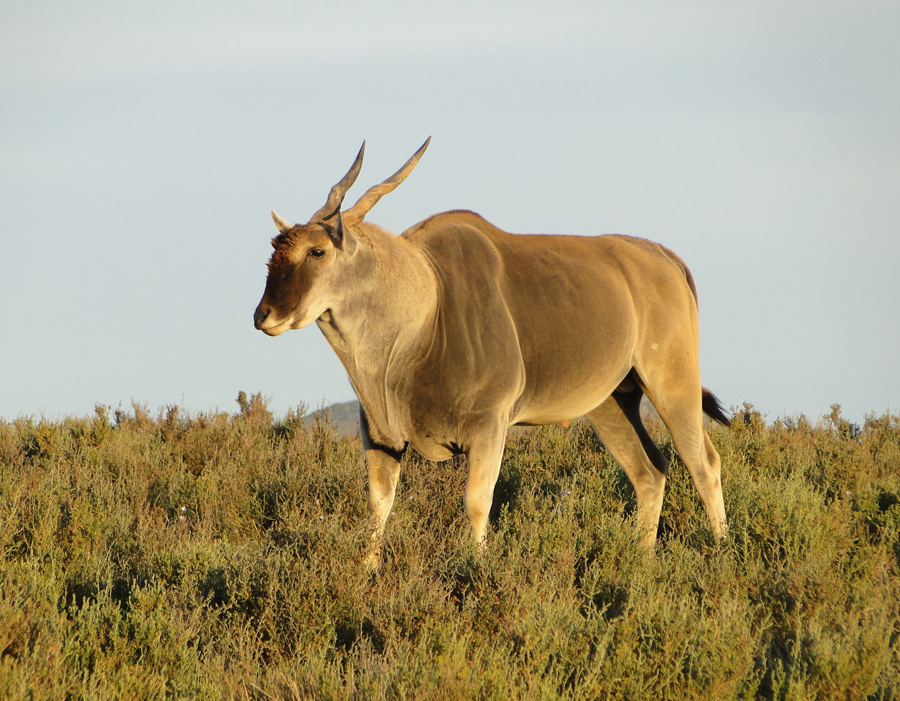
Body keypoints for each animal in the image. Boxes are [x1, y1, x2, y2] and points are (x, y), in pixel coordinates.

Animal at [250, 138, 728, 568]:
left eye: (317, 250)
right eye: (273, 254)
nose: (263, 315)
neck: (425, 314)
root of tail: (666, 258)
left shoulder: (489, 426)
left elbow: (477, 502)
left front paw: (477, 569)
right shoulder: (381, 440)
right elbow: (378, 507)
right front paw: (367, 572)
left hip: (672, 383)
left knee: (703, 464)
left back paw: (722, 552)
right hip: (612, 403)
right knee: (650, 473)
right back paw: (641, 562)